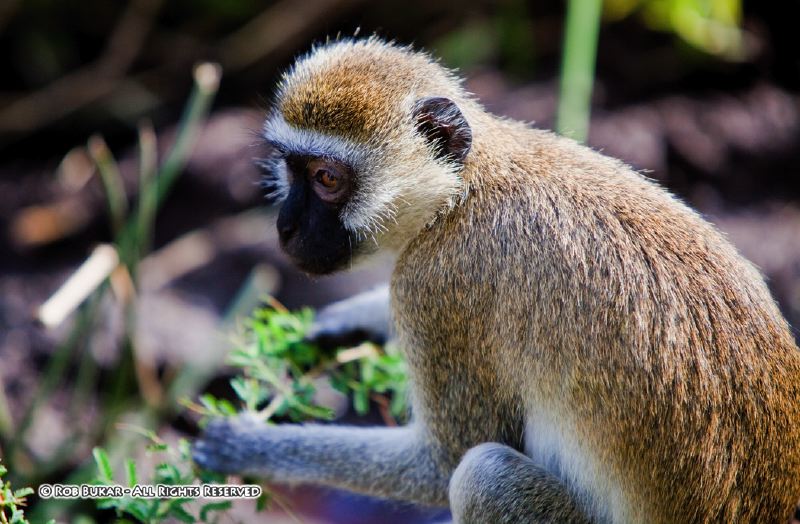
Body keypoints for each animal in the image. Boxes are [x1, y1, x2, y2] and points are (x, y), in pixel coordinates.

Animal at [192, 39, 800, 520]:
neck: (463, 191)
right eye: (289, 167)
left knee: (483, 475)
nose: (286, 227)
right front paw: (353, 318)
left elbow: (440, 466)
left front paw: (248, 444)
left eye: (326, 179)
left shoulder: (434, 283)